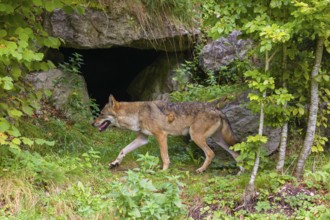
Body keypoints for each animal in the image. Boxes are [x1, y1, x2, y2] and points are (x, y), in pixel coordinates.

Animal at [93, 95, 240, 173]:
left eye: (101, 114)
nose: (92, 123)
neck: (136, 114)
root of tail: (217, 109)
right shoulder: (142, 139)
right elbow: (123, 150)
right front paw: (115, 163)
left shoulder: (161, 136)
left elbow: (164, 157)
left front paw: (163, 171)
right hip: (218, 140)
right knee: (236, 154)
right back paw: (241, 172)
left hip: (196, 137)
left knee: (211, 153)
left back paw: (200, 170)